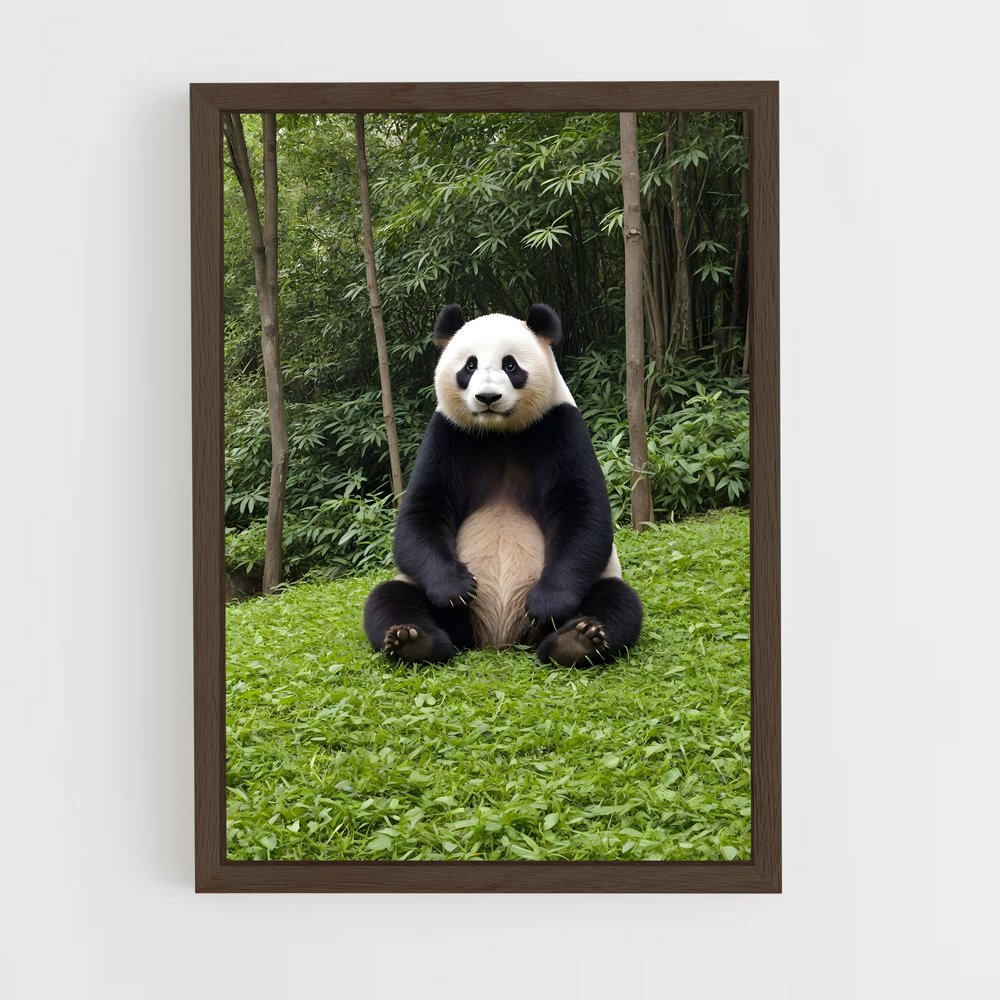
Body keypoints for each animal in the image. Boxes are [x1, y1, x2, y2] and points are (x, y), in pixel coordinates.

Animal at [363, 303, 643, 667]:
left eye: (510, 365)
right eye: (470, 365)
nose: (488, 397)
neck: (499, 433)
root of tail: (497, 638)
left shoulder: (560, 424)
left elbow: (582, 512)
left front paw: (547, 604)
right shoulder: (447, 433)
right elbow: (422, 512)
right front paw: (455, 588)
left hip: (597, 583)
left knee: (618, 600)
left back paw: (576, 640)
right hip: (436, 605)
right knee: (389, 598)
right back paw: (413, 639)